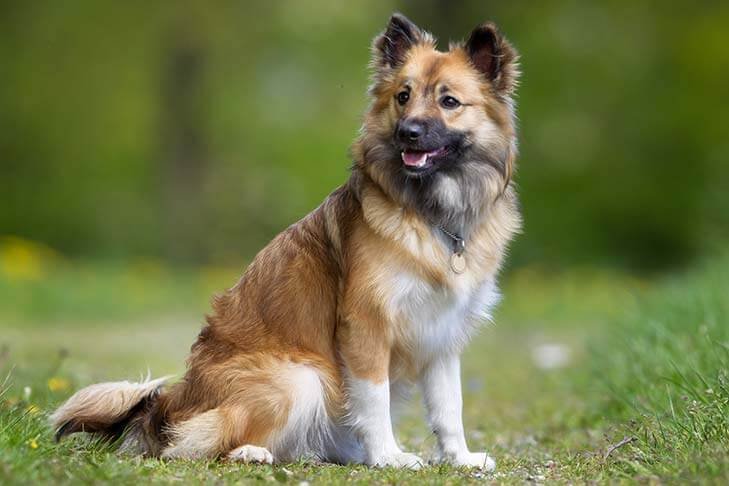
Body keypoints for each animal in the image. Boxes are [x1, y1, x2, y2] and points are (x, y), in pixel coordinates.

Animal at [52, 15, 516, 468]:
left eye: (449, 101)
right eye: (403, 96)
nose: (409, 132)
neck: (432, 214)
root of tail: (167, 407)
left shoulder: (442, 335)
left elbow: (448, 407)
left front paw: (460, 458)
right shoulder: (365, 326)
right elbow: (374, 399)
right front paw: (388, 456)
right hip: (300, 377)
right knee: (193, 444)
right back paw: (252, 452)